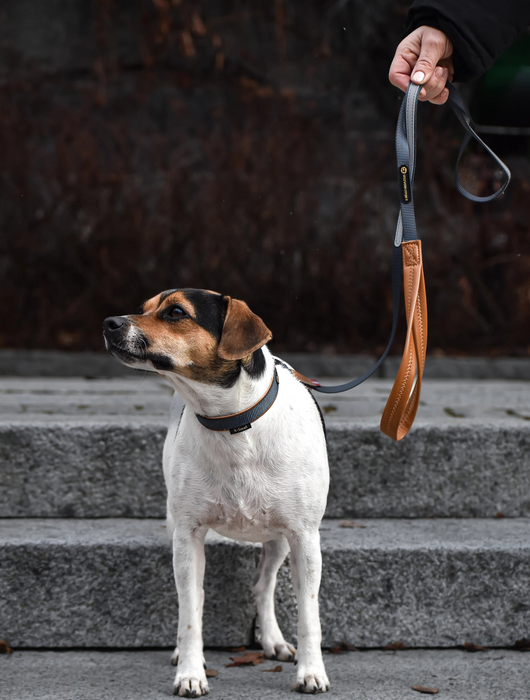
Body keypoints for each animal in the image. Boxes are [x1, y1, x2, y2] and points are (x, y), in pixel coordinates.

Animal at [102, 288, 330, 696]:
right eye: (144, 308)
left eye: (176, 312)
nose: (109, 322)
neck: (232, 423)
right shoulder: (188, 533)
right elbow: (190, 612)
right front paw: (191, 672)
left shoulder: (305, 537)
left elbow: (309, 615)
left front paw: (311, 671)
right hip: (175, 528)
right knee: (195, 596)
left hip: (280, 539)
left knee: (263, 585)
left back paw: (273, 640)